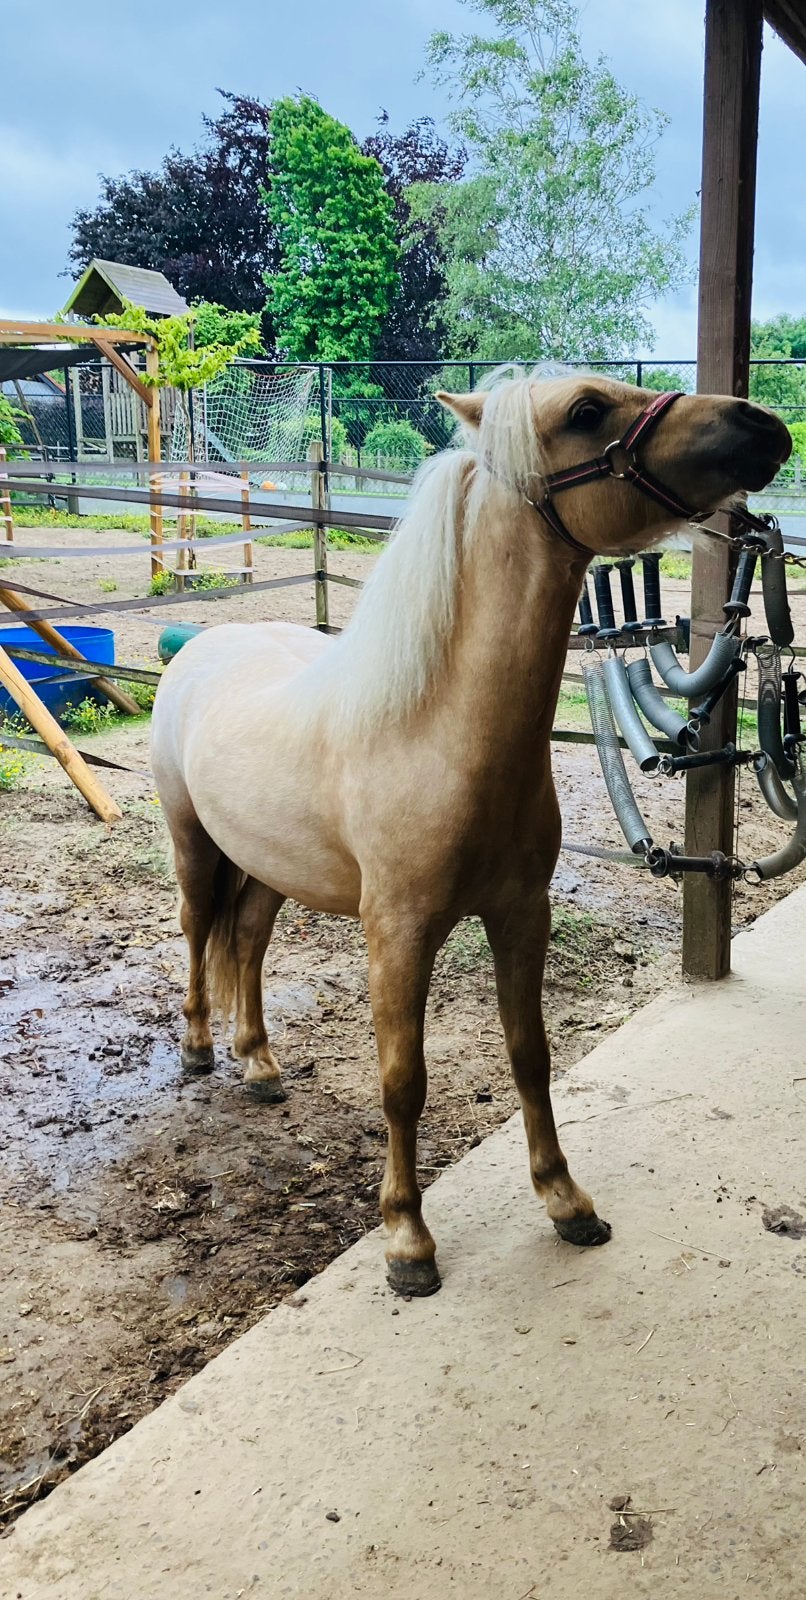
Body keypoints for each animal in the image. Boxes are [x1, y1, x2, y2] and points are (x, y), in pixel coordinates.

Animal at [151, 372, 790, 1296]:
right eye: (586, 411)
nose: (762, 423)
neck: (438, 735)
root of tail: (202, 647)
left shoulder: (522, 914)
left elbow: (530, 1053)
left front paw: (565, 1201)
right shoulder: (399, 935)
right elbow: (402, 1081)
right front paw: (407, 1241)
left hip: (268, 867)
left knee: (248, 943)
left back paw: (259, 1062)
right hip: (194, 846)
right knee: (202, 931)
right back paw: (202, 1048)